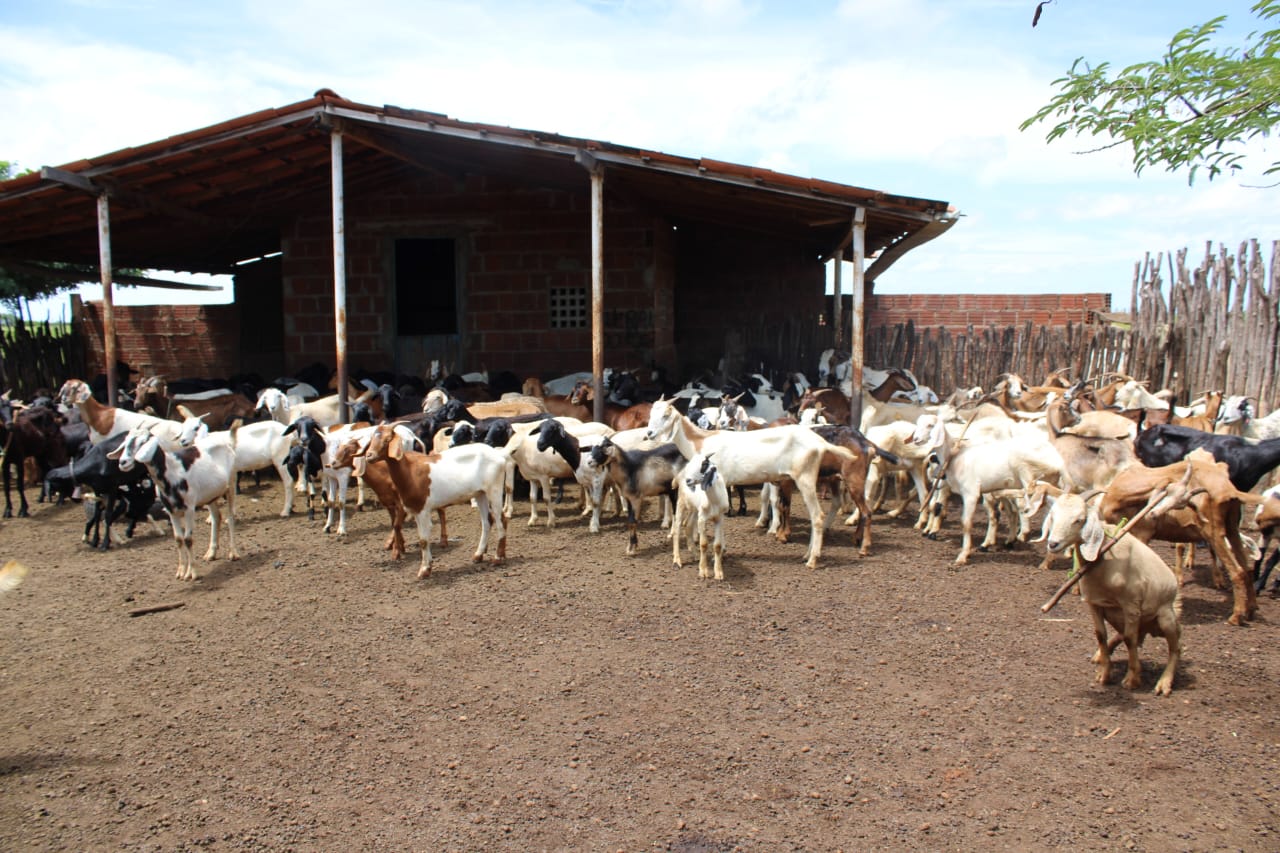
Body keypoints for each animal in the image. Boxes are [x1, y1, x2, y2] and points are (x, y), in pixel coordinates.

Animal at [355, 420, 509, 573]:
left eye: (387, 440)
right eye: (372, 439)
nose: (369, 455)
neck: (410, 472)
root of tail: (498, 455)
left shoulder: (423, 510)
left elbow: (424, 540)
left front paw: (424, 570)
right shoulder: (416, 509)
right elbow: (421, 539)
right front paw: (427, 566)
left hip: (494, 489)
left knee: (501, 519)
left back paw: (498, 558)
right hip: (480, 493)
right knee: (487, 521)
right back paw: (478, 555)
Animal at [670, 450, 732, 578]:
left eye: (703, 465)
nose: (688, 481)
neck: (714, 501)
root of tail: (681, 472)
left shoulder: (719, 518)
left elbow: (717, 545)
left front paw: (719, 573)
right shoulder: (702, 518)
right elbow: (703, 544)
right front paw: (703, 571)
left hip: (694, 509)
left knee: (688, 525)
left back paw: (695, 555)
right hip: (681, 503)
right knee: (677, 530)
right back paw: (677, 561)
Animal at [1044, 489, 1182, 696]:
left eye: (1079, 519)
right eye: (1052, 516)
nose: (1053, 543)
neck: (1105, 557)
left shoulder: (1131, 605)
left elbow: (1130, 639)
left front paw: (1132, 679)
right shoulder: (1094, 603)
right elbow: (1101, 635)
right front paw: (1104, 674)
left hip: (1166, 616)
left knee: (1174, 648)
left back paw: (1164, 683)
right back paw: (1100, 655)